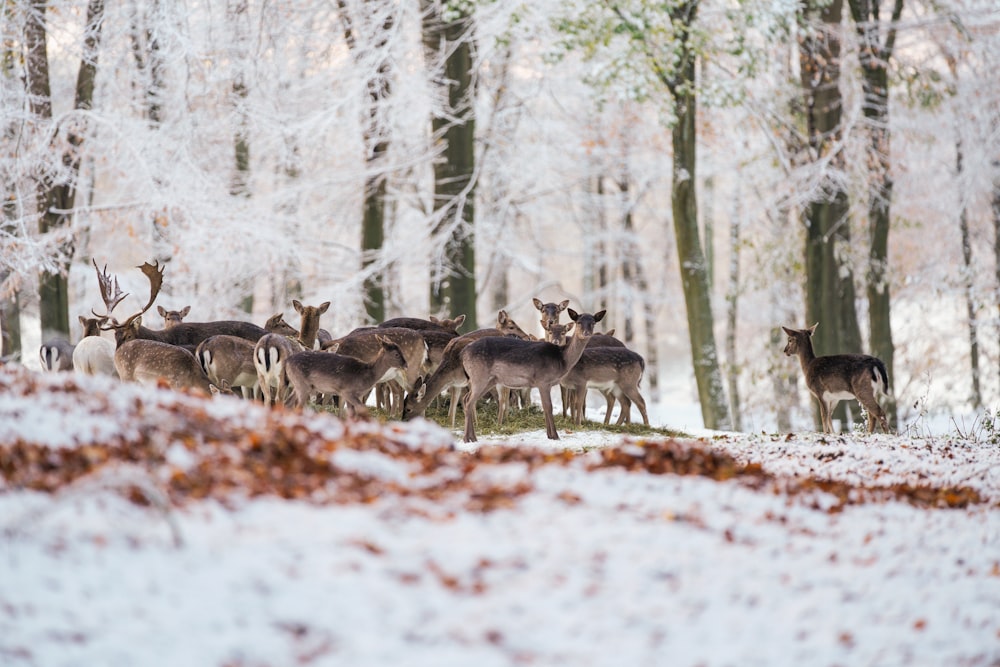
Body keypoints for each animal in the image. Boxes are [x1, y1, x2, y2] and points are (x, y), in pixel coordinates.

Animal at [458, 308, 600, 444]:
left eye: (593, 323)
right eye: (579, 322)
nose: (587, 333)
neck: (561, 360)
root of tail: (463, 353)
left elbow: (545, 406)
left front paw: (549, 435)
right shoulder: (543, 380)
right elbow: (548, 407)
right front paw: (555, 436)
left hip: (488, 380)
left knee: (466, 399)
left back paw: (472, 437)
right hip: (479, 376)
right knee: (469, 402)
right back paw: (467, 438)